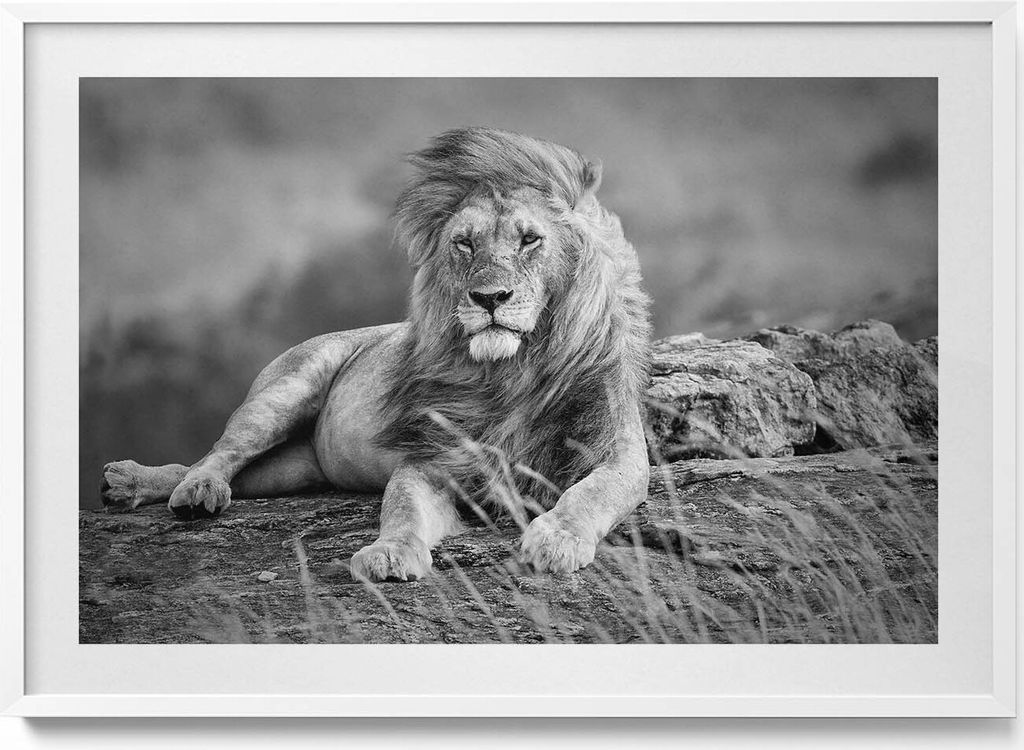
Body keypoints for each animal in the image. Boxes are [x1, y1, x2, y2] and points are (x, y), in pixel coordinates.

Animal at [99, 127, 652, 580]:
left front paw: (557, 539)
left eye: (530, 239)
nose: (489, 298)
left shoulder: (618, 453)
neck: (511, 372)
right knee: (218, 453)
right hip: (285, 390)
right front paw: (389, 553)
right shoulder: (431, 459)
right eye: (464, 244)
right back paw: (184, 490)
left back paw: (131, 484)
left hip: (293, 469)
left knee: (222, 468)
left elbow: (591, 492)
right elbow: (401, 507)